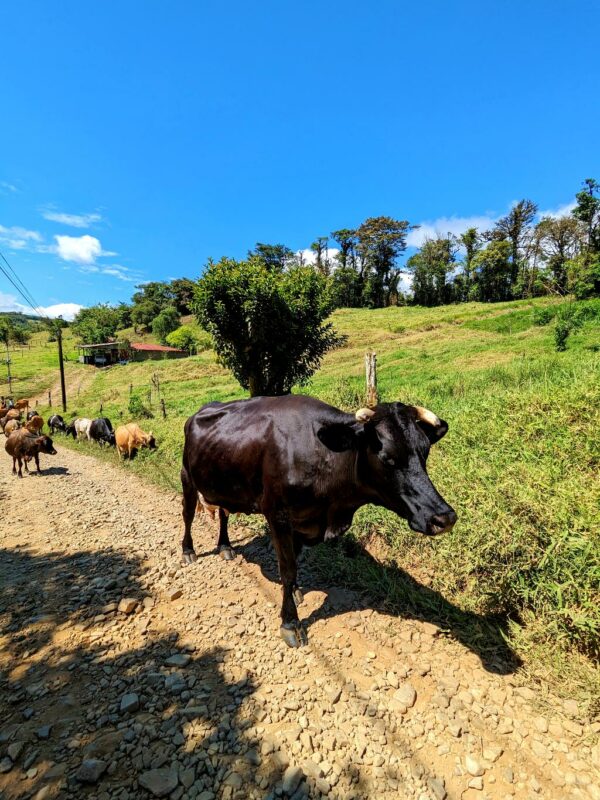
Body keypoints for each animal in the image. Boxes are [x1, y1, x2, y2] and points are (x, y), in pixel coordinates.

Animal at [180, 394, 458, 648]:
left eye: (425, 452)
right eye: (387, 457)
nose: (444, 517)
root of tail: (201, 410)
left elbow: (295, 561)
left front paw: (294, 592)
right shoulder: (277, 515)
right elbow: (287, 568)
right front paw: (290, 622)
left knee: (223, 513)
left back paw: (225, 546)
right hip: (187, 477)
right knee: (188, 515)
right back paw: (188, 551)